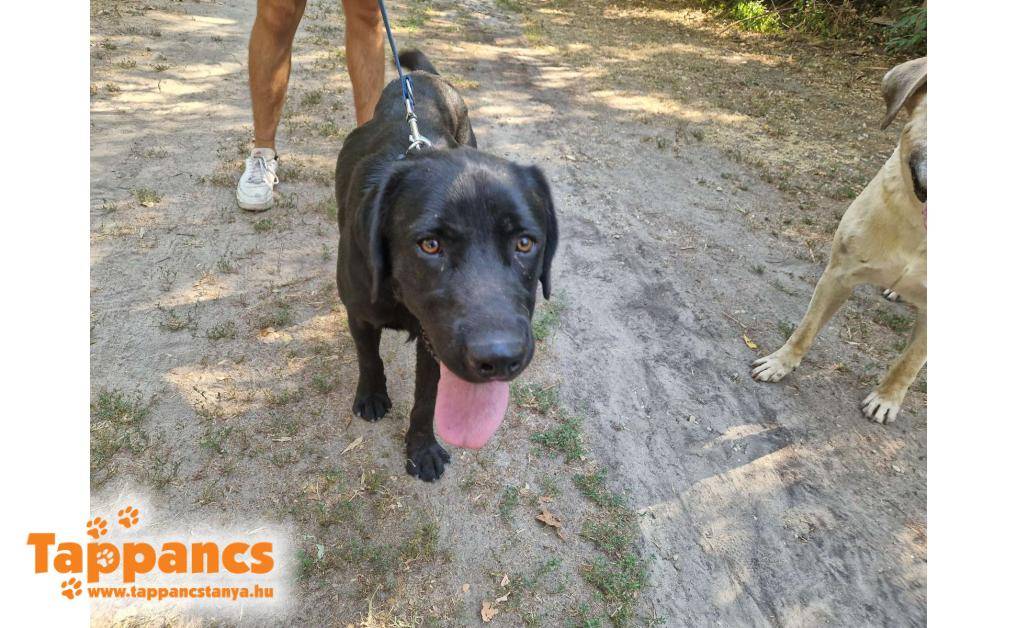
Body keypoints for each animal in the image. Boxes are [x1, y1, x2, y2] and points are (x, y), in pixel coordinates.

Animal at [335, 50, 558, 481]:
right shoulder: (360, 314)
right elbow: (368, 358)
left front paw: (422, 449)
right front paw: (371, 395)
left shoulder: (434, 345)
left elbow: (427, 399)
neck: (400, 295)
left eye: (525, 242)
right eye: (430, 245)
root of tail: (421, 77)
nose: (499, 358)